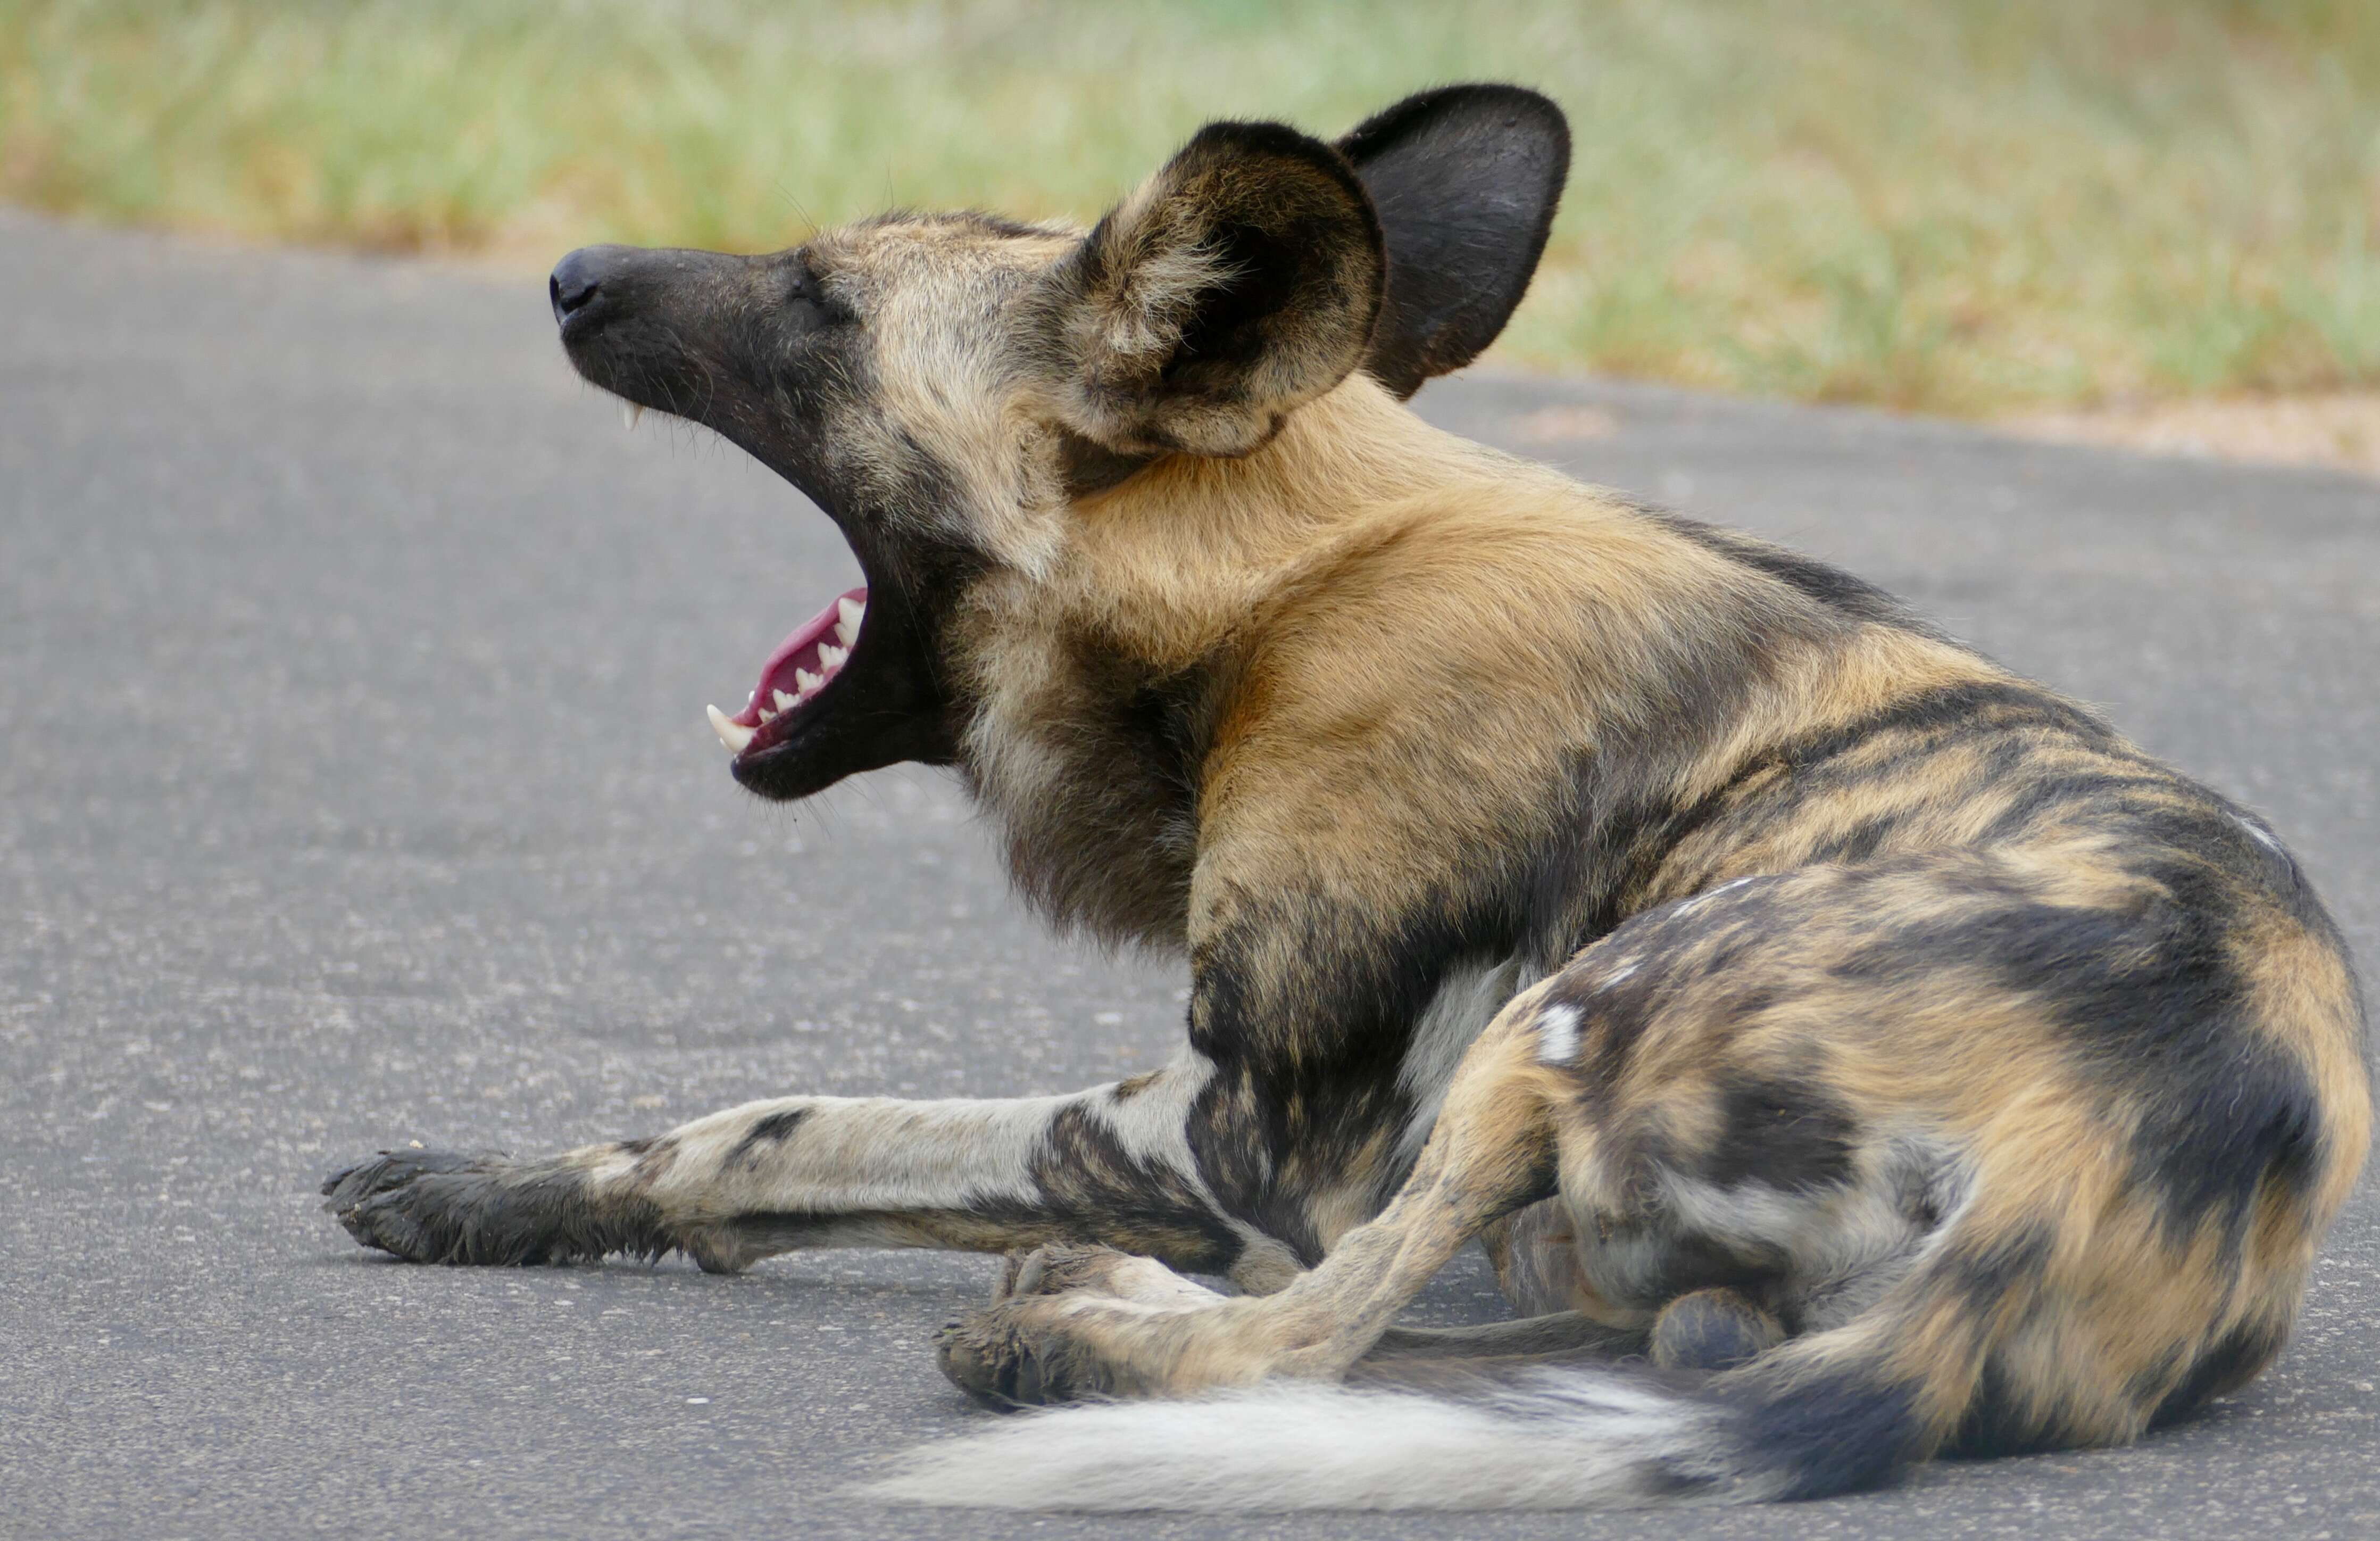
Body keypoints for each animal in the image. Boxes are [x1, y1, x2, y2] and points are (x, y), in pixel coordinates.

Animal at [321, 81, 2361, 1505]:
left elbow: (790, 1123)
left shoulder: (1243, 1134)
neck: (1274, 594)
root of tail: (2132, 1121)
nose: (572, 274)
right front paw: (491, 1187)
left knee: (1294, 1340)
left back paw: (1073, 1333)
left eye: (819, 307)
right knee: (1587, 1351)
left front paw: (516, 1187)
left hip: (1546, 1023)